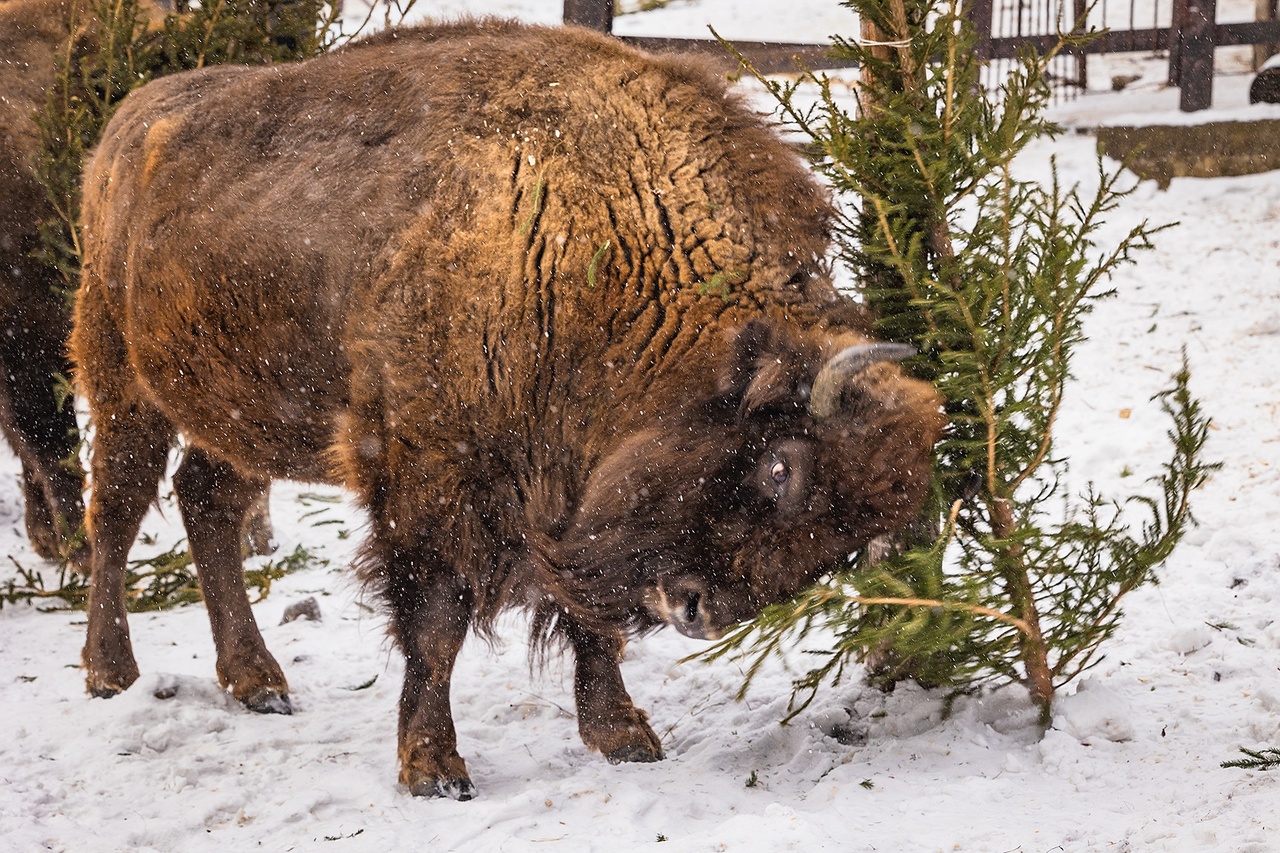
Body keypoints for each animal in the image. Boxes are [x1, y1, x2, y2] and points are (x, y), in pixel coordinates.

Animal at [72, 16, 952, 794]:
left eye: (841, 541)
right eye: (779, 468)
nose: (698, 608)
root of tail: (125, 126)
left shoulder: (568, 487)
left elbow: (590, 619)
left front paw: (623, 735)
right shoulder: (434, 477)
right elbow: (438, 622)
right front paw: (434, 767)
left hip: (237, 415)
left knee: (207, 500)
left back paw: (258, 681)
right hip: (121, 381)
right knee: (116, 508)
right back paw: (112, 671)